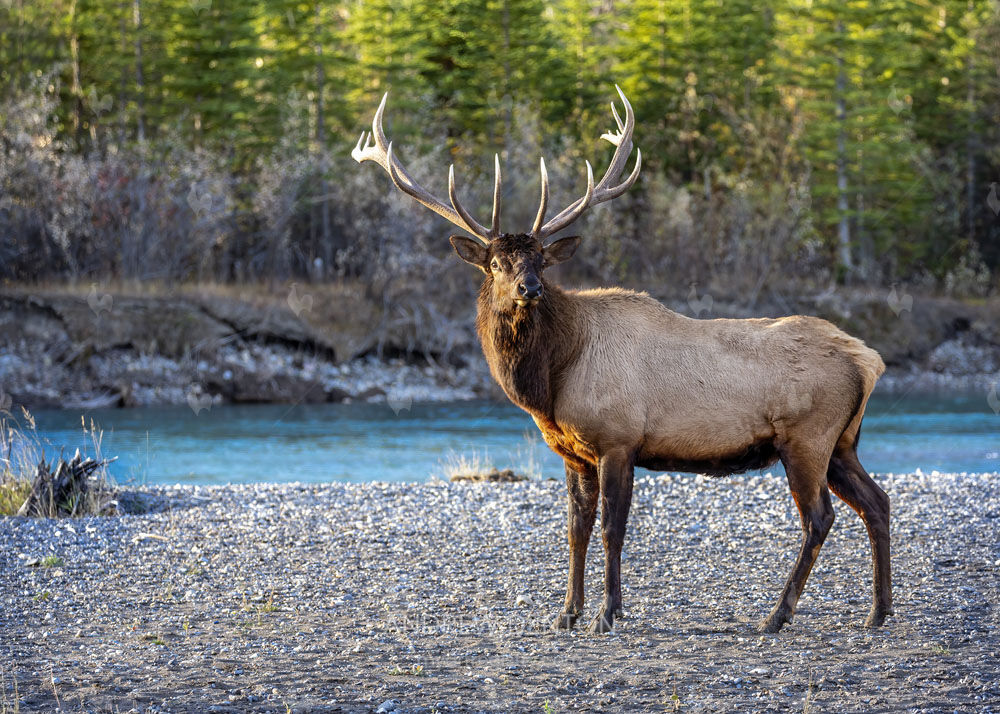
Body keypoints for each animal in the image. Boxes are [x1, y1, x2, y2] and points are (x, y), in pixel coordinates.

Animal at [352, 87, 892, 635]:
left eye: (541, 259)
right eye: (497, 263)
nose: (530, 288)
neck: (552, 378)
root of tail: (870, 359)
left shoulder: (619, 439)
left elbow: (613, 529)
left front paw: (606, 613)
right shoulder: (573, 452)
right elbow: (577, 530)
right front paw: (567, 612)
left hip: (806, 438)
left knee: (819, 517)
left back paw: (777, 614)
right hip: (841, 443)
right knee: (877, 502)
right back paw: (878, 610)